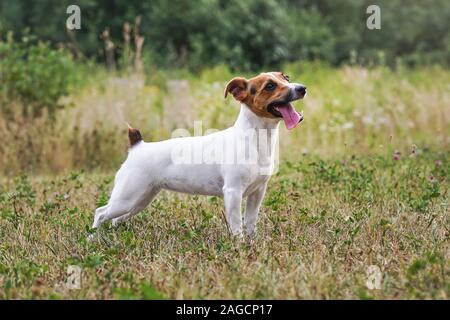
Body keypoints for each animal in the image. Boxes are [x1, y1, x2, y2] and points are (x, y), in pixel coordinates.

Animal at [91, 72, 306, 238]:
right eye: (269, 86)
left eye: (286, 77)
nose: (302, 88)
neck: (255, 139)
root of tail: (137, 147)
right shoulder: (233, 192)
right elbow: (237, 225)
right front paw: (239, 246)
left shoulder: (257, 192)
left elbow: (251, 222)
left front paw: (252, 243)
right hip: (127, 197)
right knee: (100, 213)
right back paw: (93, 238)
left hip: (140, 199)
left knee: (116, 219)